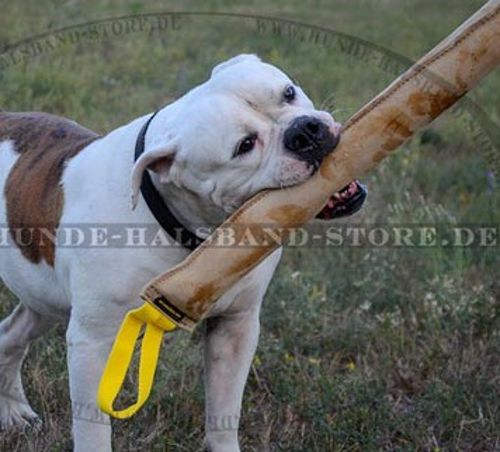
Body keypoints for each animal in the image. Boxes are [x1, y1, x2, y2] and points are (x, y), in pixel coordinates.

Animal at [0, 54, 368, 450]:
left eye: (288, 93)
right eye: (244, 145)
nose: (305, 131)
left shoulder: (235, 326)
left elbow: (224, 412)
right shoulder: (92, 343)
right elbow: (92, 426)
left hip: (43, 297)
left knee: (11, 334)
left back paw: (12, 409)